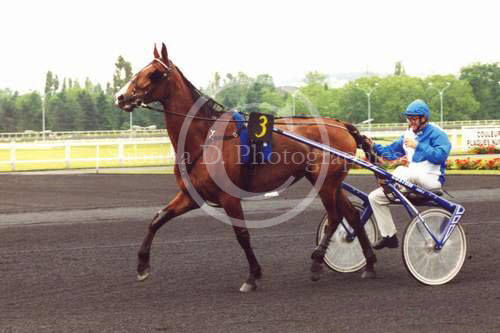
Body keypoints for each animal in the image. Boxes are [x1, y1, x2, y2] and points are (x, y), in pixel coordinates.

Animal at [115, 42, 376, 290]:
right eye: (139, 70)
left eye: (153, 73)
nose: (120, 96)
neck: (206, 138)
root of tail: (341, 124)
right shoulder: (192, 195)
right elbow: (157, 218)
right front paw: (142, 266)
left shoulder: (229, 197)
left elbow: (242, 235)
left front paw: (253, 276)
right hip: (330, 182)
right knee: (352, 215)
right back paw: (369, 264)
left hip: (326, 182)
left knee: (334, 217)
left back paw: (317, 263)